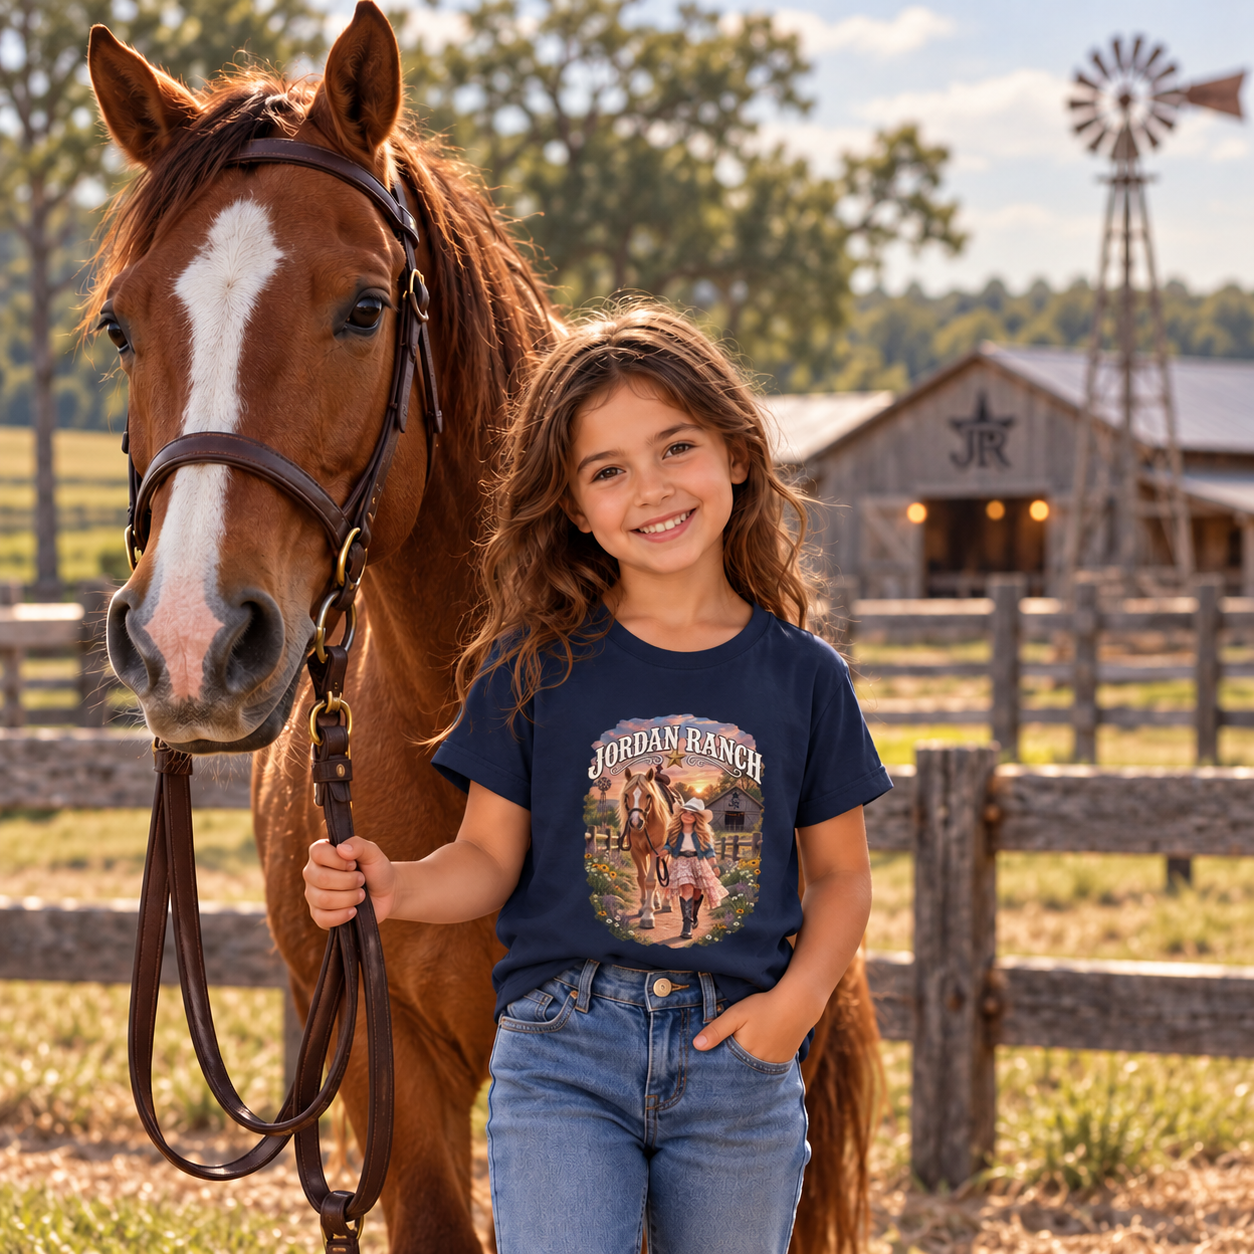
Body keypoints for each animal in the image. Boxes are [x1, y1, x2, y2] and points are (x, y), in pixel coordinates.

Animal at [617, 766, 673, 929]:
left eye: (648, 795)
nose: (636, 822)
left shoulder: (657, 850)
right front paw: (643, 907)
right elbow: (642, 878)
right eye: (627, 795)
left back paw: (666, 903)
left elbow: (650, 881)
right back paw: (656, 901)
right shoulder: (636, 851)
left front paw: (648, 915)